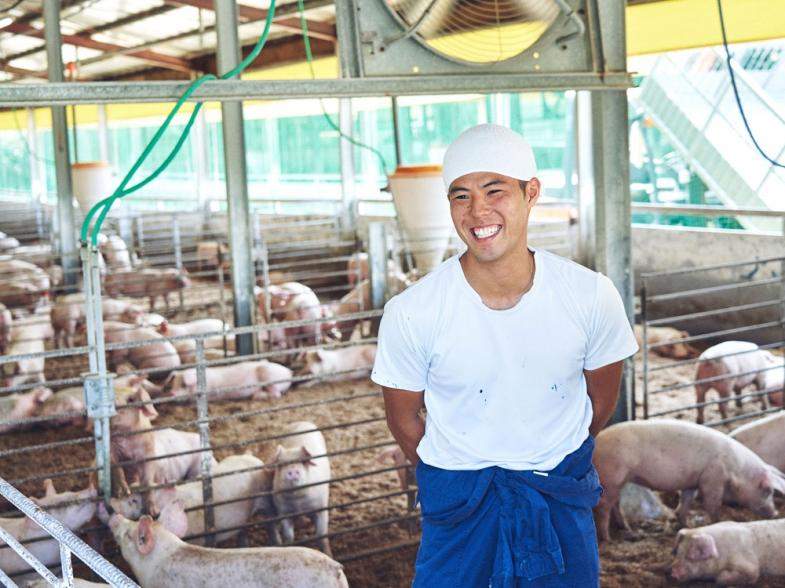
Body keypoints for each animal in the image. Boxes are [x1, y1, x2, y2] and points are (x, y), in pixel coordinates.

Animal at [272, 422, 332, 556]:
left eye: (304, 461)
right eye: (281, 464)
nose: (293, 469)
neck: (298, 500)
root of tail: (302, 422)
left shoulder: (321, 507)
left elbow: (321, 535)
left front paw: (329, 555)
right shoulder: (284, 511)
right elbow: (289, 536)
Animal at [596, 418, 784, 544]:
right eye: (768, 491)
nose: (775, 513)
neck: (737, 470)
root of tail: (597, 441)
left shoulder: (692, 482)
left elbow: (685, 501)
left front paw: (681, 524)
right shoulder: (712, 478)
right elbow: (712, 505)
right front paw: (716, 522)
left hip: (619, 481)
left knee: (615, 504)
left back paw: (627, 530)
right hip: (611, 478)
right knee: (603, 507)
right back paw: (608, 539)